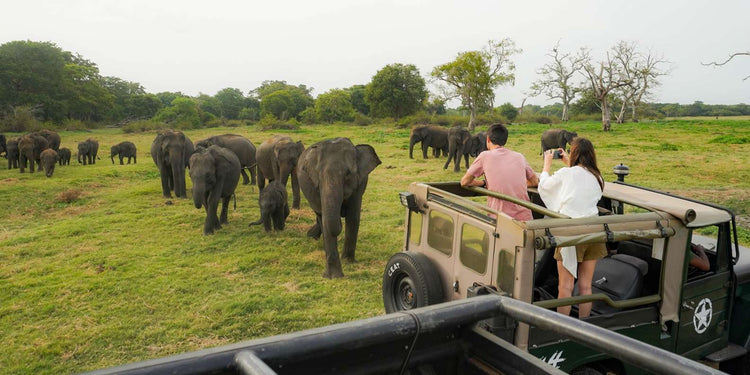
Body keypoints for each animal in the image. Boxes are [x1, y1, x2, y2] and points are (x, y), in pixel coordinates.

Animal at [296, 138, 382, 280]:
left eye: (348, 174)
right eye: (318, 175)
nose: (341, 212)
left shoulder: (359, 184)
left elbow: (353, 217)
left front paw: (348, 261)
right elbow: (326, 220)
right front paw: (333, 277)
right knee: (320, 216)